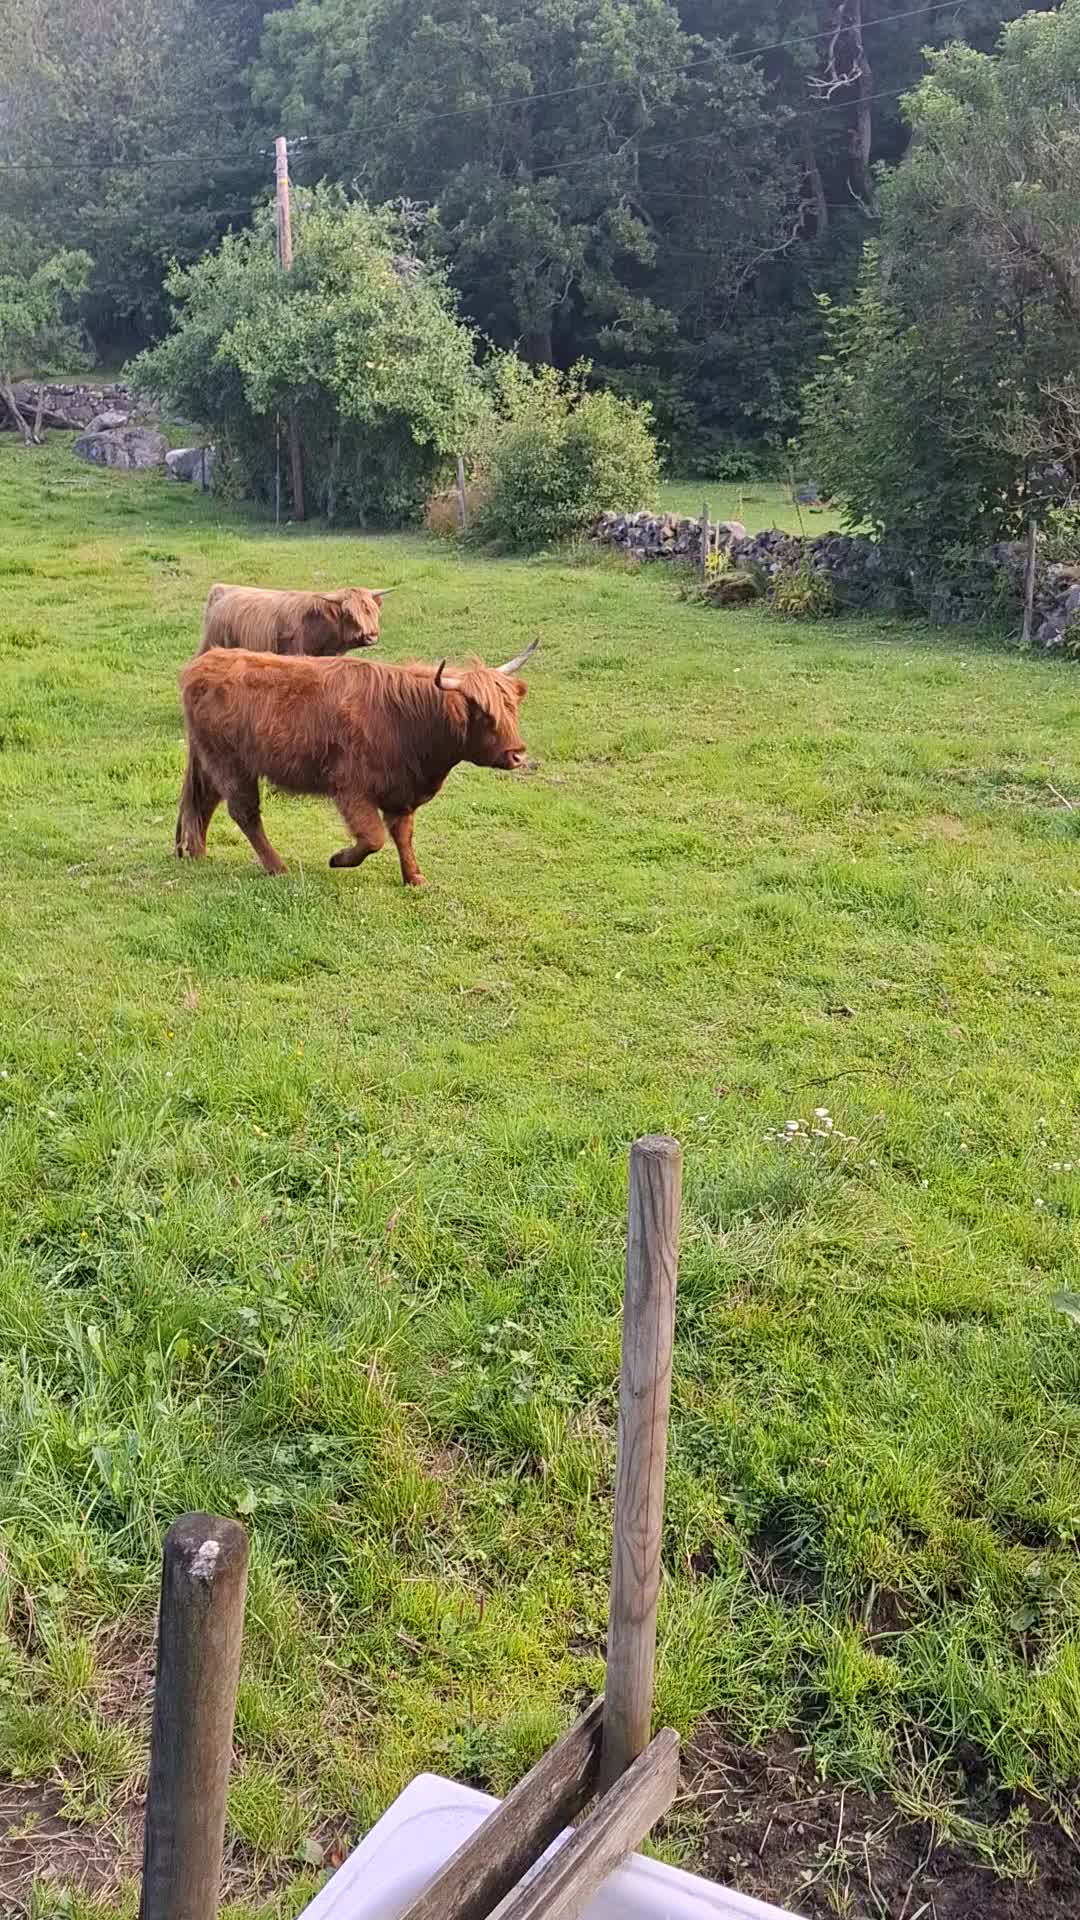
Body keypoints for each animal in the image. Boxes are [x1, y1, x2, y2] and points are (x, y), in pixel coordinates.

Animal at [175, 638, 538, 886]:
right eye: (485, 714)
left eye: (512, 708)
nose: (518, 754)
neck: (407, 720)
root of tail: (206, 661)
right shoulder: (352, 790)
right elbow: (373, 838)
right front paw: (338, 859)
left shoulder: (400, 793)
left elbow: (403, 836)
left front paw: (414, 877)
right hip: (231, 765)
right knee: (244, 813)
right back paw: (278, 867)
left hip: (212, 764)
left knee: (204, 802)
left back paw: (198, 853)